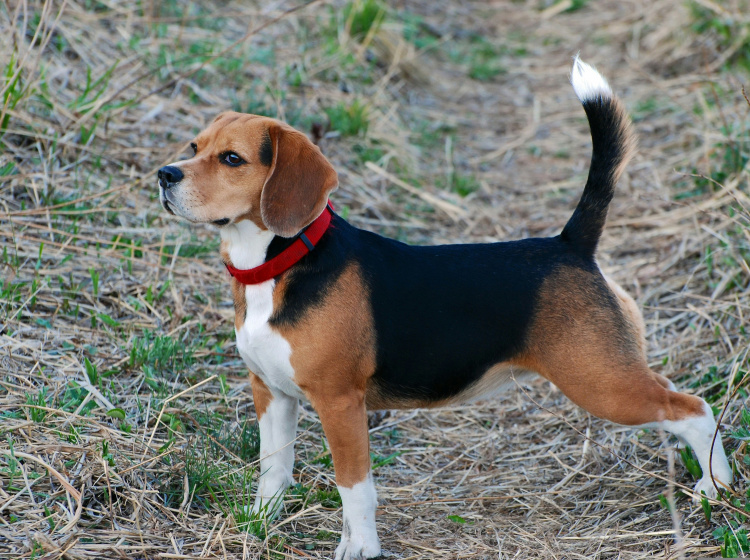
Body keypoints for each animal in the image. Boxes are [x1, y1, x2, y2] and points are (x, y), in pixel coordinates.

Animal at [157, 58, 736, 560]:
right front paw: (259, 524)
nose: (165, 174)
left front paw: (360, 549)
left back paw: (716, 487)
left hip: (603, 384)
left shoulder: (339, 402)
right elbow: (273, 470)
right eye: (194, 146)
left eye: (232, 159)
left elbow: (354, 487)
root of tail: (570, 244)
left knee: (693, 409)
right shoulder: (271, 393)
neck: (276, 265)